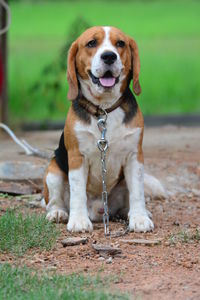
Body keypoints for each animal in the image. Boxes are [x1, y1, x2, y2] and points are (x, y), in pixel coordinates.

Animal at [43, 26, 160, 232]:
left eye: (120, 43)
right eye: (91, 43)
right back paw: (58, 213)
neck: (104, 109)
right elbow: (78, 191)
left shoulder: (134, 156)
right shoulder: (77, 157)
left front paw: (139, 218)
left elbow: (137, 192)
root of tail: (99, 210)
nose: (109, 56)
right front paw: (79, 221)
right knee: (55, 201)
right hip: (53, 171)